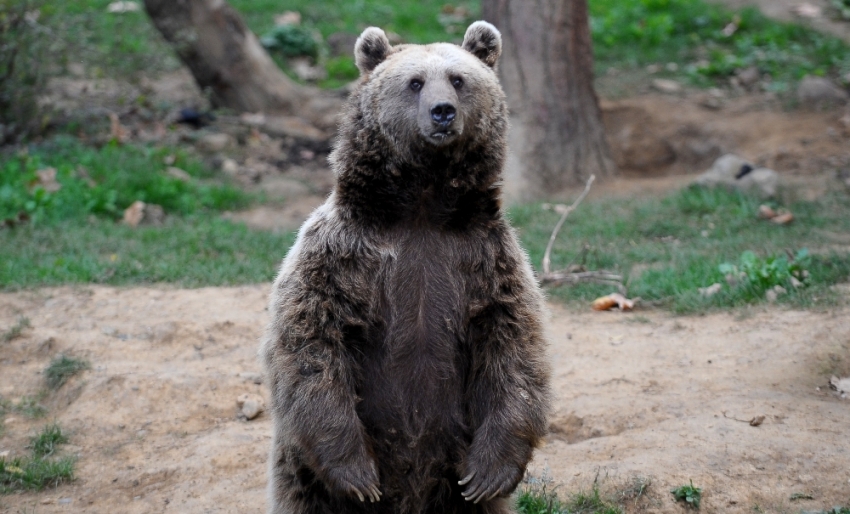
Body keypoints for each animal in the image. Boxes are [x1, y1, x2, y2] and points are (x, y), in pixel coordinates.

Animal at [260, 20, 548, 512]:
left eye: (458, 78)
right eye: (414, 82)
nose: (442, 112)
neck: (421, 210)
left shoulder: (486, 262)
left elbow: (513, 348)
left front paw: (489, 473)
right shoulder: (339, 257)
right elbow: (312, 345)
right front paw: (358, 474)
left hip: (450, 464)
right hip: (302, 473)